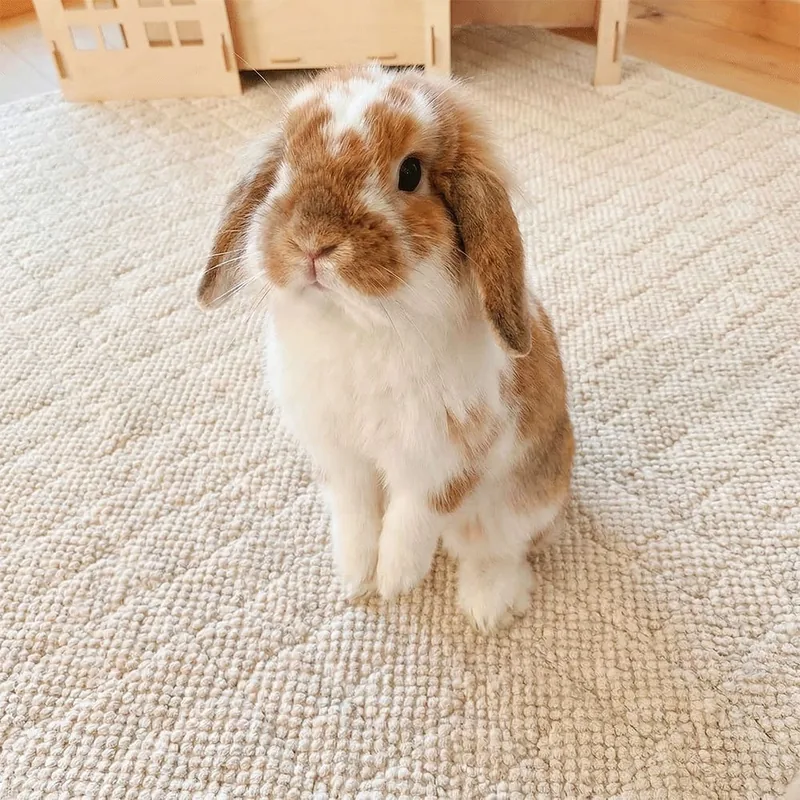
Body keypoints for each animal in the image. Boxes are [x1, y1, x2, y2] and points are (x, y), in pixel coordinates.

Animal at [197, 65, 574, 631]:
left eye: (411, 172)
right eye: (287, 160)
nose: (312, 241)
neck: (358, 324)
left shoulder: (442, 459)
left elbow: (411, 519)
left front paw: (396, 580)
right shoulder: (339, 457)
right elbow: (355, 514)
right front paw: (356, 575)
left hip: (523, 499)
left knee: (499, 547)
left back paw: (489, 606)